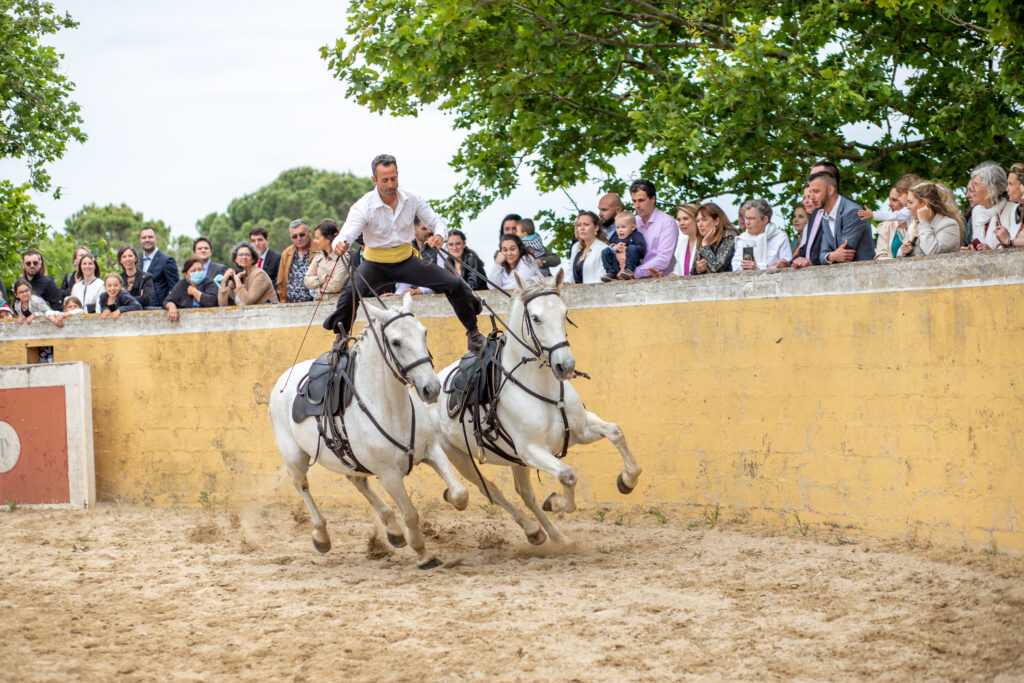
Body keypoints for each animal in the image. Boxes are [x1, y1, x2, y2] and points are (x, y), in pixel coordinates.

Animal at [268, 296, 468, 569]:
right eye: (395, 342)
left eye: (424, 332)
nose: (432, 388)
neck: (390, 407)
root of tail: (283, 380)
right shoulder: (389, 475)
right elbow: (411, 514)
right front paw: (424, 554)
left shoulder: (431, 450)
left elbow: (460, 493)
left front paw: (447, 496)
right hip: (294, 457)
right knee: (302, 486)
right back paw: (321, 536)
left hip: (348, 457)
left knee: (357, 481)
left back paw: (393, 531)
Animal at [438, 270, 638, 544]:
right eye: (535, 318)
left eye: (565, 312)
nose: (565, 366)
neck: (543, 388)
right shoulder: (531, 450)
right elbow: (567, 474)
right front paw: (555, 502)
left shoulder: (580, 431)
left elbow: (616, 432)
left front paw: (627, 481)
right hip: (460, 457)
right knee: (492, 491)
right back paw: (533, 530)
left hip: (514, 460)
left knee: (525, 494)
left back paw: (555, 537)